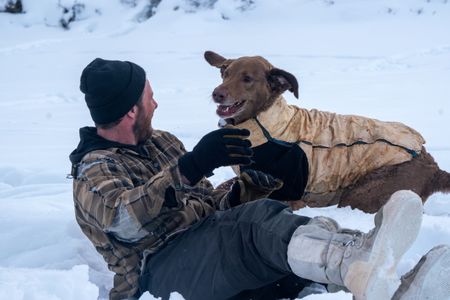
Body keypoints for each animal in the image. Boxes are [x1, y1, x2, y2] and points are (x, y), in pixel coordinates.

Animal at [206, 50, 450, 212]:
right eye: (225, 73)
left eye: (247, 78)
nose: (217, 93)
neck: (267, 126)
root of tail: (432, 165)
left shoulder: (293, 197)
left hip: (360, 193)